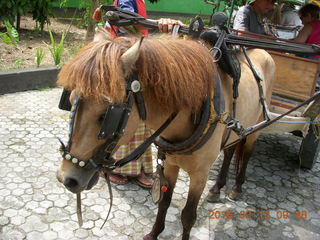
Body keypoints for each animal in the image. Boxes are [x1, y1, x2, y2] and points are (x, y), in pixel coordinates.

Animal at [55, 30, 276, 240]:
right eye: (69, 100)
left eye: (105, 116)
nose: (66, 179)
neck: (197, 109)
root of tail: (264, 51)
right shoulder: (170, 164)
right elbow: (164, 202)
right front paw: (154, 233)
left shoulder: (200, 175)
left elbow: (188, 216)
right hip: (234, 131)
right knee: (230, 151)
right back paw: (217, 188)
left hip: (257, 127)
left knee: (246, 153)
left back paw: (236, 187)